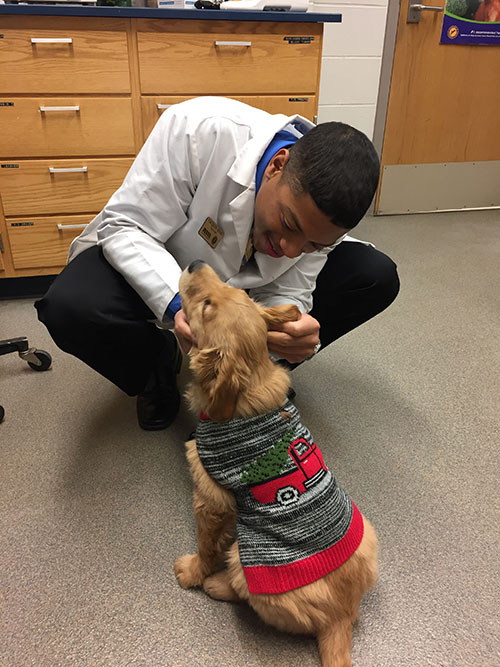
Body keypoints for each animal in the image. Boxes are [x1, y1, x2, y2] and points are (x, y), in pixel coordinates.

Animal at [174, 260, 376, 667]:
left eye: (206, 306)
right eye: (235, 290)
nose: (194, 264)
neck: (250, 385)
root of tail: (344, 615)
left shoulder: (211, 497)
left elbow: (206, 545)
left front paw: (192, 572)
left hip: (250, 565)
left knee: (244, 589)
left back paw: (216, 584)